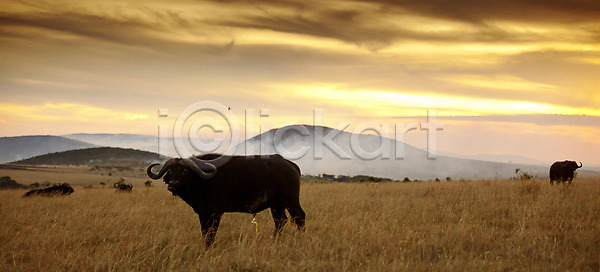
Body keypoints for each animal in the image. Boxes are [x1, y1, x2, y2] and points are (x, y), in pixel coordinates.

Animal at [145, 154, 304, 248]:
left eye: (184, 171)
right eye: (170, 171)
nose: (173, 184)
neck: (203, 180)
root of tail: (290, 164)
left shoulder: (216, 213)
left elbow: (211, 232)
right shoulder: (203, 213)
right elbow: (204, 231)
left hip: (291, 202)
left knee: (300, 217)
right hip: (276, 205)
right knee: (280, 221)